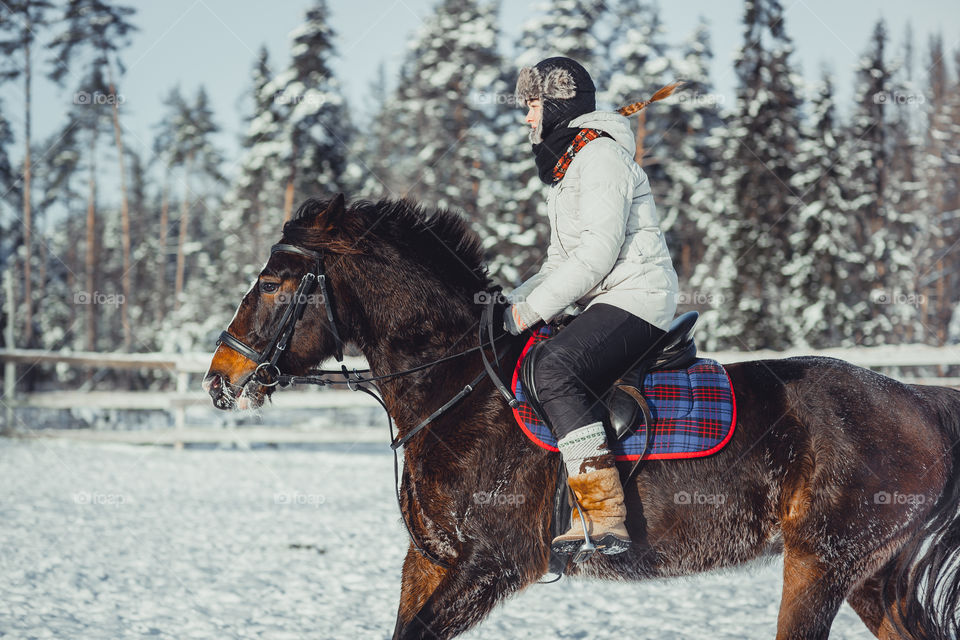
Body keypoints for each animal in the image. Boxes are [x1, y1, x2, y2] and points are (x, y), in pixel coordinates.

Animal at [202, 196, 960, 640]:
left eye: (275, 283)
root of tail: (916, 399)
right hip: (871, 576)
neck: (458, 386)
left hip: (821, 563)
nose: (221, 379)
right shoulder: (430, 559)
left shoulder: (497, 563)